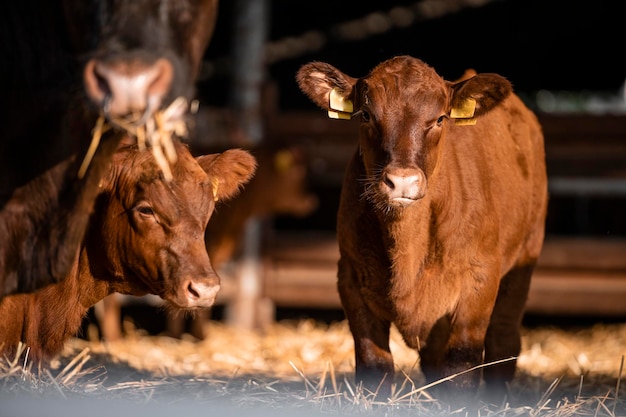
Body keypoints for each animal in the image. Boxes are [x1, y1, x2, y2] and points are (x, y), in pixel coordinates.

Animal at [294, 56, 544, 404]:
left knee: (503, 339)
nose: (402, 181)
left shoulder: (480, 278)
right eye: (366, 114)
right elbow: (374, 364)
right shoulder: (351, 276)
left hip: (525, 254)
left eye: (439, 119)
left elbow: (462, 362)